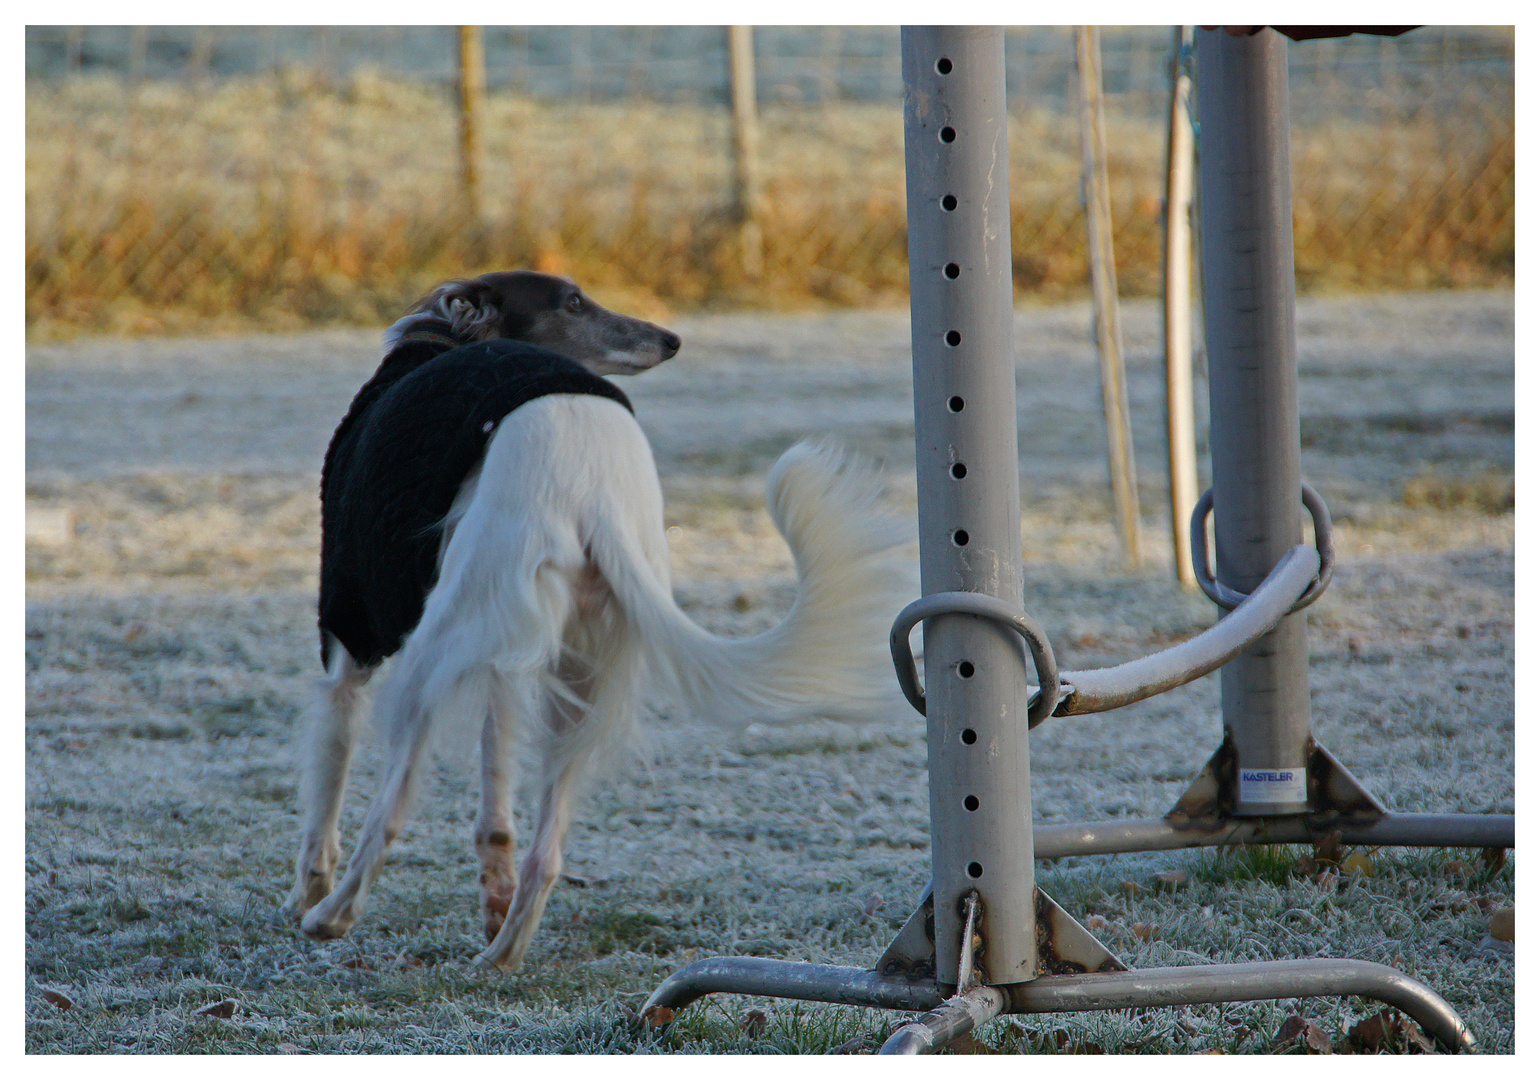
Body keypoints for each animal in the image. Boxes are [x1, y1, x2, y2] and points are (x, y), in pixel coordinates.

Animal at [283, 271, 905, 967]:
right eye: (574, 302)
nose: (671, 338)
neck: (442, 340)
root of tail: (593, 484)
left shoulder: (349, 632)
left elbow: (328, 774)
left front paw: (306, 893)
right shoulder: (504, 661)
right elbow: (496, 815)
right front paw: (492, 900)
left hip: (438, 650)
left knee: (391, 811)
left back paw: (332, 917)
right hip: (580, 668)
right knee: (546, 852)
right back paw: (501, 952)